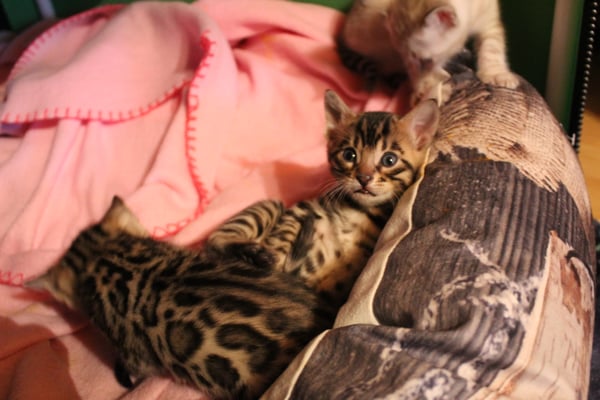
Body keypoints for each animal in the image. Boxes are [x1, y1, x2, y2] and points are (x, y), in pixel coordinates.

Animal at [25, 90, 439, 400]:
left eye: (389, 159)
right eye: (349, 154)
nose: (365, 178)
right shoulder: (301, 210)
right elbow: (283, 240)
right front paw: (273, 257)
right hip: (268, 206)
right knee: (216, 240)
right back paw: (252, 253)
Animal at [339, 0, 519, 104]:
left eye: (425, 60)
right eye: (410, 61)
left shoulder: (489, 18)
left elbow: (492, 47)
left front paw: (496, 73)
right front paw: (426, 89)